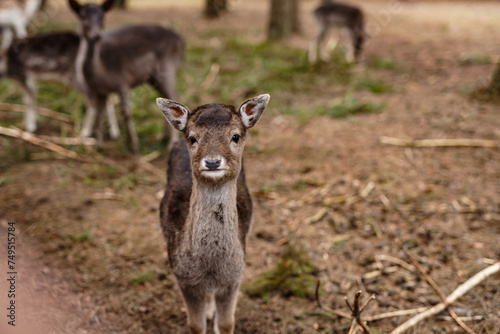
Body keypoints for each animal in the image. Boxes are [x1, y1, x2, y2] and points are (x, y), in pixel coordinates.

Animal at [67, 0, 184, 153]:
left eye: (102, 16)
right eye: (82, 16)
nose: (96, 35)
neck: (101, 71)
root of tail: (181, 41)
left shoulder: (122, 82)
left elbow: (126, 114)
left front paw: (134, 147)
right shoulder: (99, 92)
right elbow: (99, 116)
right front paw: (96, 148)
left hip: (168, 68)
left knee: (175, 96)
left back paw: (171, 144)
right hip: (153, 79)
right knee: (166, 99)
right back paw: (163, 138)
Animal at [158, 94, 272, 334]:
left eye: (235, 136)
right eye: (193, 138)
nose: (212, 162)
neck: (211, 270)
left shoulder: (234, 276)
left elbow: (227, 323)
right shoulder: (183, 277)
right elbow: (195, 325)